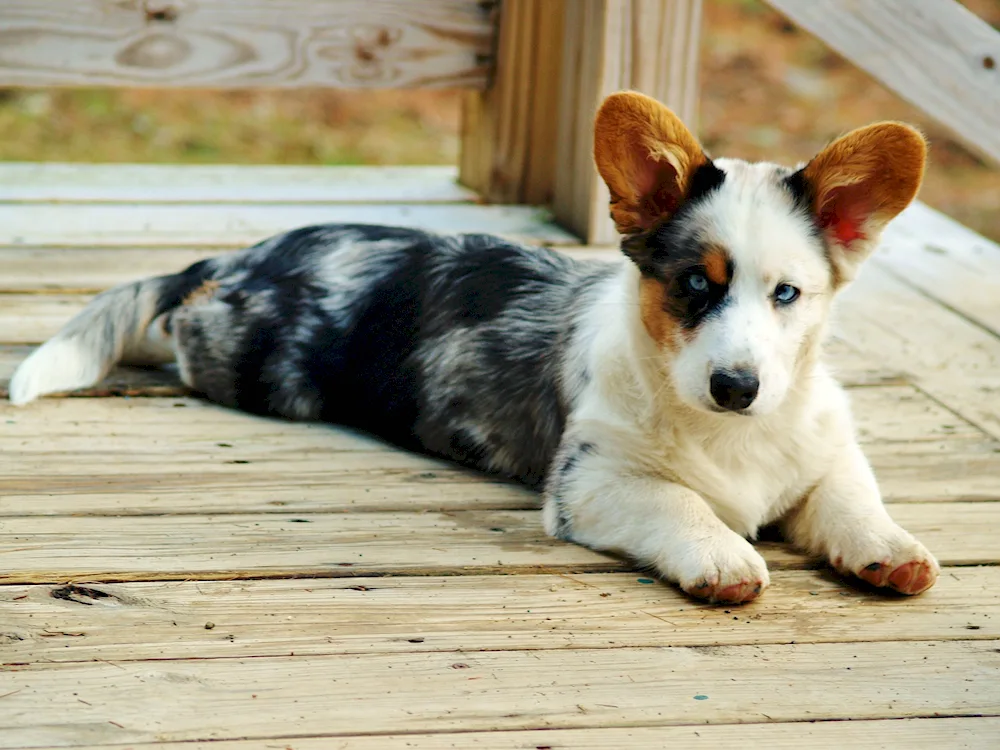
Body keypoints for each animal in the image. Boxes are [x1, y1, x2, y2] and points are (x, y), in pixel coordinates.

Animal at [11, 91, 940, 604]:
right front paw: (723, 555)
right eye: (693, 286)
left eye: (787, 294)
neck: (730, 433)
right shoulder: (594, 482)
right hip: (248, 359)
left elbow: (854, 500)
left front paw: (893, 551)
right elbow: (681, 505)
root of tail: (246, 256)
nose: (737, 386)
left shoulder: (825, 457)